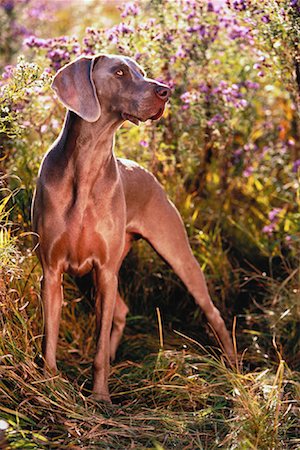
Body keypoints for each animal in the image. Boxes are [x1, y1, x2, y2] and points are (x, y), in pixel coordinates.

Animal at [32, 54, 234, 402]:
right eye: (120, 72)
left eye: (141, 71)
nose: (166, 91)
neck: (87, 165)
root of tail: (147, 172)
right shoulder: (53, 270)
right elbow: (50, 338)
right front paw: (49, 385)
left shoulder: (105, 271)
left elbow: (98, 348)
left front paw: (100, 396)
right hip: (91, 276)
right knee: (122, 310)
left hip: (176, 253)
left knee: (213, 312)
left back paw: (234, 369)